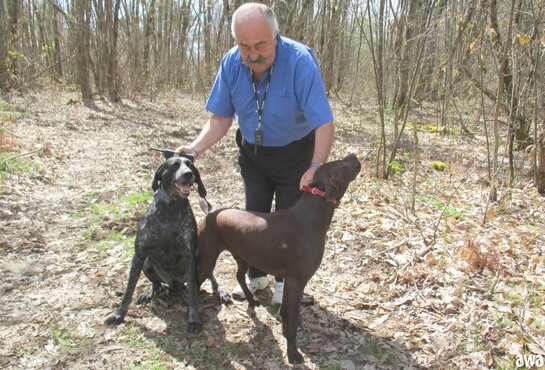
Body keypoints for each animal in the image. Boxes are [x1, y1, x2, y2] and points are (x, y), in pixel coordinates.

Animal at [197, 153, 362, 364]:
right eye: (343, 164)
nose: (353, 155)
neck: (312, 214)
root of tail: (210, 213)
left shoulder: (289, 281)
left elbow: (284, 312)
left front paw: (284, 331)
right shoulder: (297, 282)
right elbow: (293, 323)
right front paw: (293, 353)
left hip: (244, 255)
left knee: (239, 276)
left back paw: (251, 300)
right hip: (207, 258)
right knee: (193, 283)